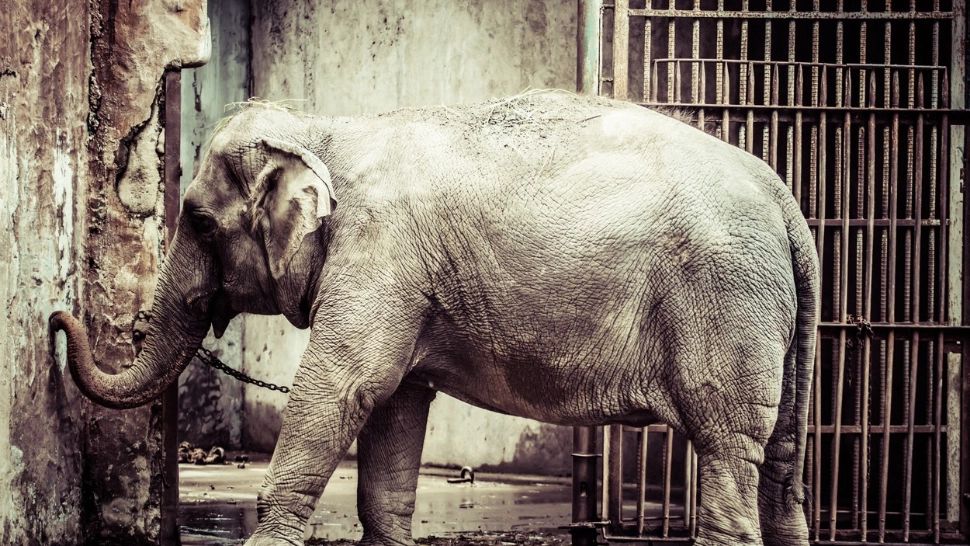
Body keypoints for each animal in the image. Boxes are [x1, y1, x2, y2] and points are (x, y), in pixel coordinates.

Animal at [50, 91, 818, 546]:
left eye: (201, 222)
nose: (57, 316)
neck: (329, 126)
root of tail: (784, 196)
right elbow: (394, 408)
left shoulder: (378, 255)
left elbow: (344, 387)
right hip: (774, 326)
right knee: (780, 465)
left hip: (725, 304)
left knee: (727, 449)